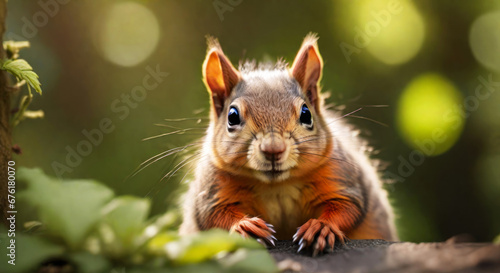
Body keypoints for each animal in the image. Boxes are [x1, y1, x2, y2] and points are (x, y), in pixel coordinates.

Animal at [180, 34, 398, 255]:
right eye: (232, 116)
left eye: (306, 114)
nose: (273, 149)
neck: (278, 185)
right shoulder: (213, 190)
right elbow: (213, 216)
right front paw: (244, 227)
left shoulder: (340, 176)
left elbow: (348, 207)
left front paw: (321, 228)